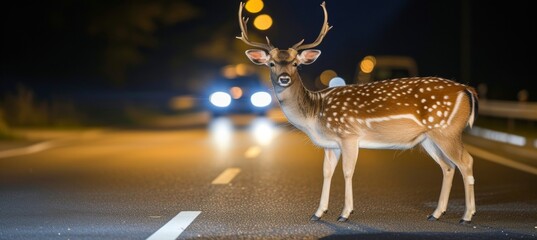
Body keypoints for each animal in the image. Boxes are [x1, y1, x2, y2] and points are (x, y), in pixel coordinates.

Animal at [238, 1, 478, 224]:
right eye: (271, 63)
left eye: (296, 63)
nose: (284, 78)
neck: (315, 114)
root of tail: (466, 89)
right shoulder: (330, 144)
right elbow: (326, 172)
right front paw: (318, 213)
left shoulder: (349, 135)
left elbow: (347, 172)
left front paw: (345, 214)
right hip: (429, 138)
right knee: (448, 167)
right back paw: (436, 214)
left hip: (446, 130)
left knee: (465, 161)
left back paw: (467, 216)